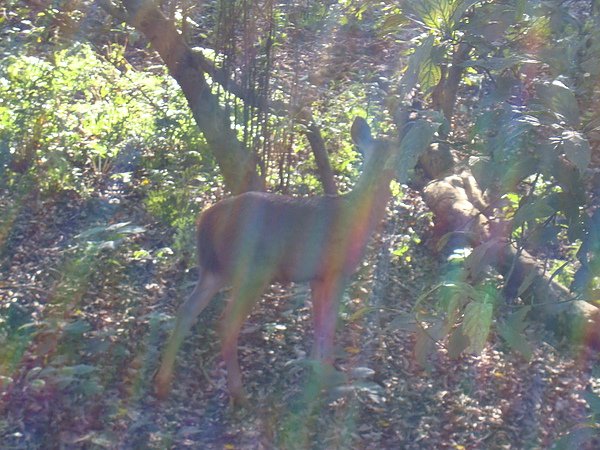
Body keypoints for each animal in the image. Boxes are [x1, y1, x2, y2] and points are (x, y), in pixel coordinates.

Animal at [154, 116, 398, 404]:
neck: (358, 215)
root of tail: (207, 218)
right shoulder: (337, 271)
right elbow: (328, 324)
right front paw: (325, 379)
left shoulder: (316, 276)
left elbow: (318, 323)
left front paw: (314, 370)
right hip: (253, 270)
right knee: (226, 322)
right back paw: (239, 394)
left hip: (215, 269)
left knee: (187, 310)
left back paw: (162, 383)